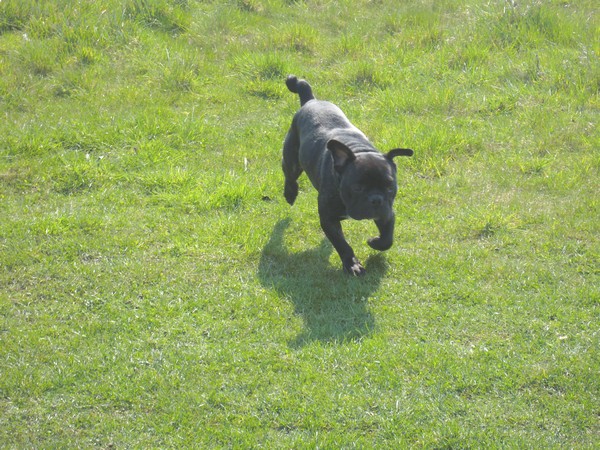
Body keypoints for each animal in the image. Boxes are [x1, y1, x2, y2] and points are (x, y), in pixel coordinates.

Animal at [282, 74, 412, 274]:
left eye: (390, 186)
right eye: (357, 187)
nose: (376, 200)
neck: (358, 150)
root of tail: (311, 100)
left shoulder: (387, 212)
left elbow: (388, 239)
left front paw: (374, 242)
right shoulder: (329, 219)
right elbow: (342, 244)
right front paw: (352, 264)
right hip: (293, 160)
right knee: (289, 175)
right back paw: (290, 194)